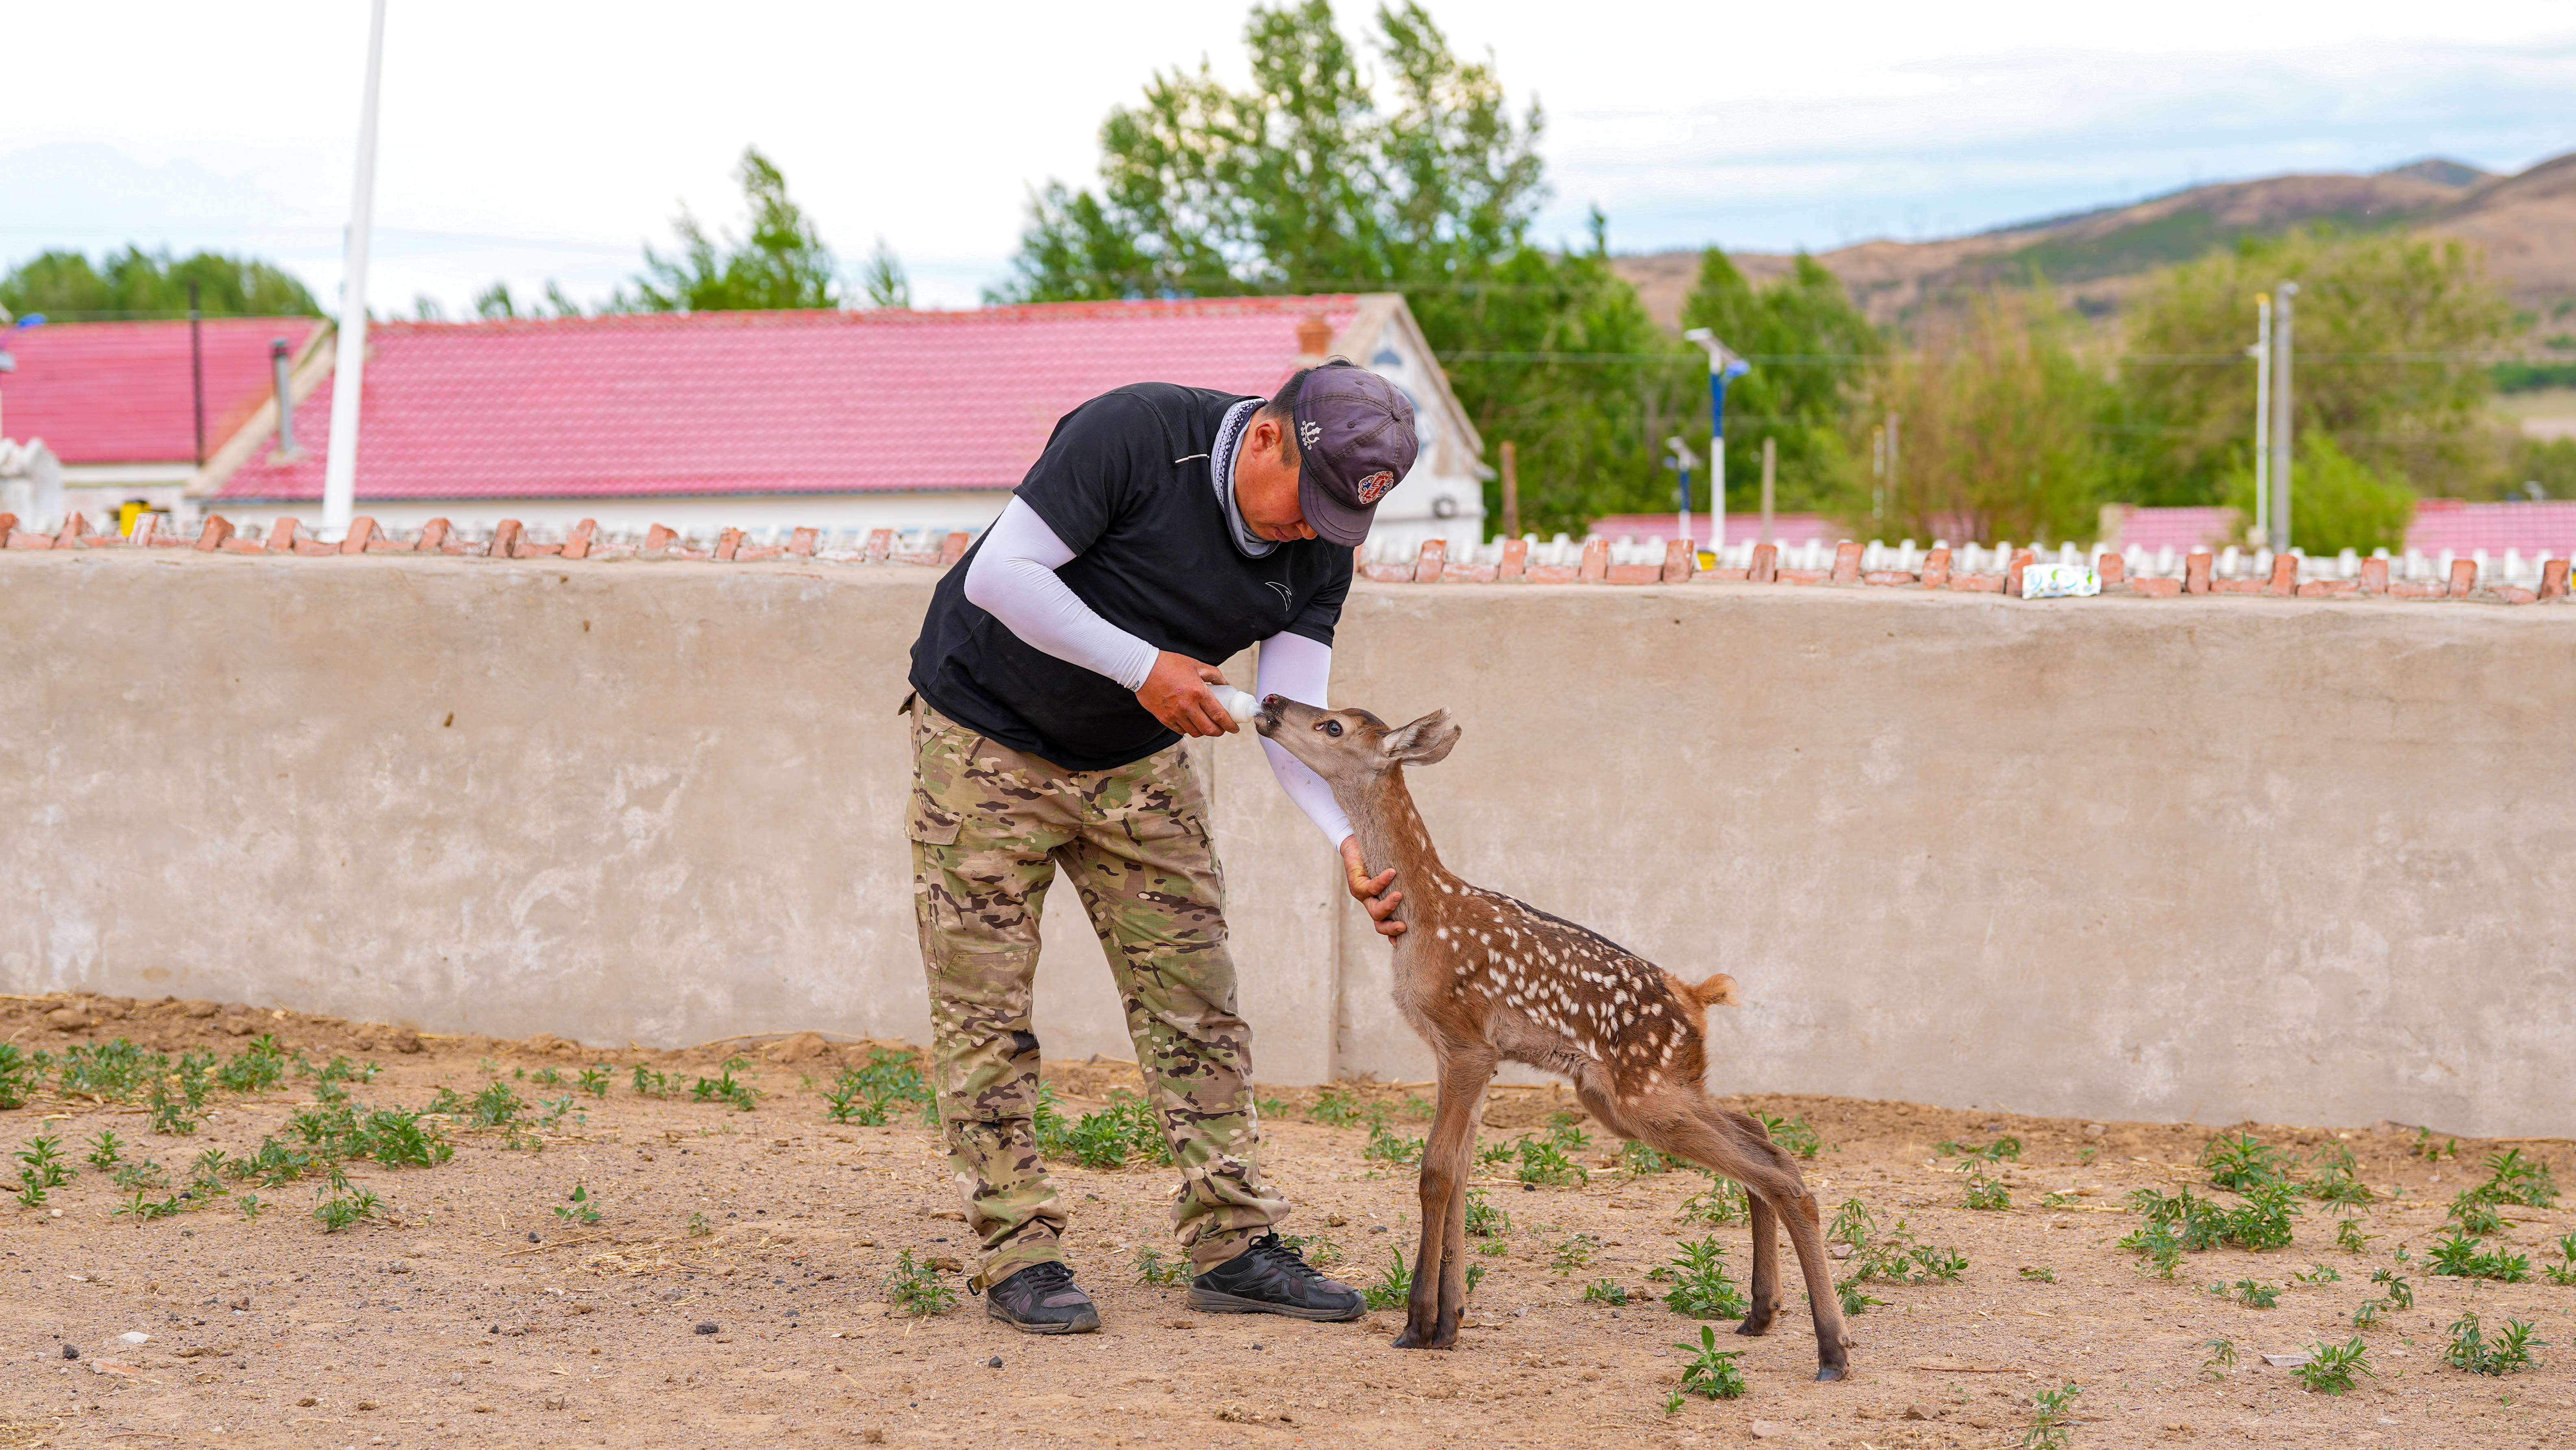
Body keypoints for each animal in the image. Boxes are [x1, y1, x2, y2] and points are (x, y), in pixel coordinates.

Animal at [1255, 694, 1852, 1380]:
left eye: (1333, 725)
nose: (1271, 701)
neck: (1424, 915)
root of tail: (1695, 997)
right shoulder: (1471, 1054)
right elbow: (1461, 1174)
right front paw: (1450, 1322)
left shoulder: (1465, 1041)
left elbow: (1435, 1170)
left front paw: (1417, 1323)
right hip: (1642, 1089)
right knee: (1762, 1136)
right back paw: (1760, 1312)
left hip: (1642, 1092)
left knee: (1780, 1173)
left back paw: (1833, 1349)